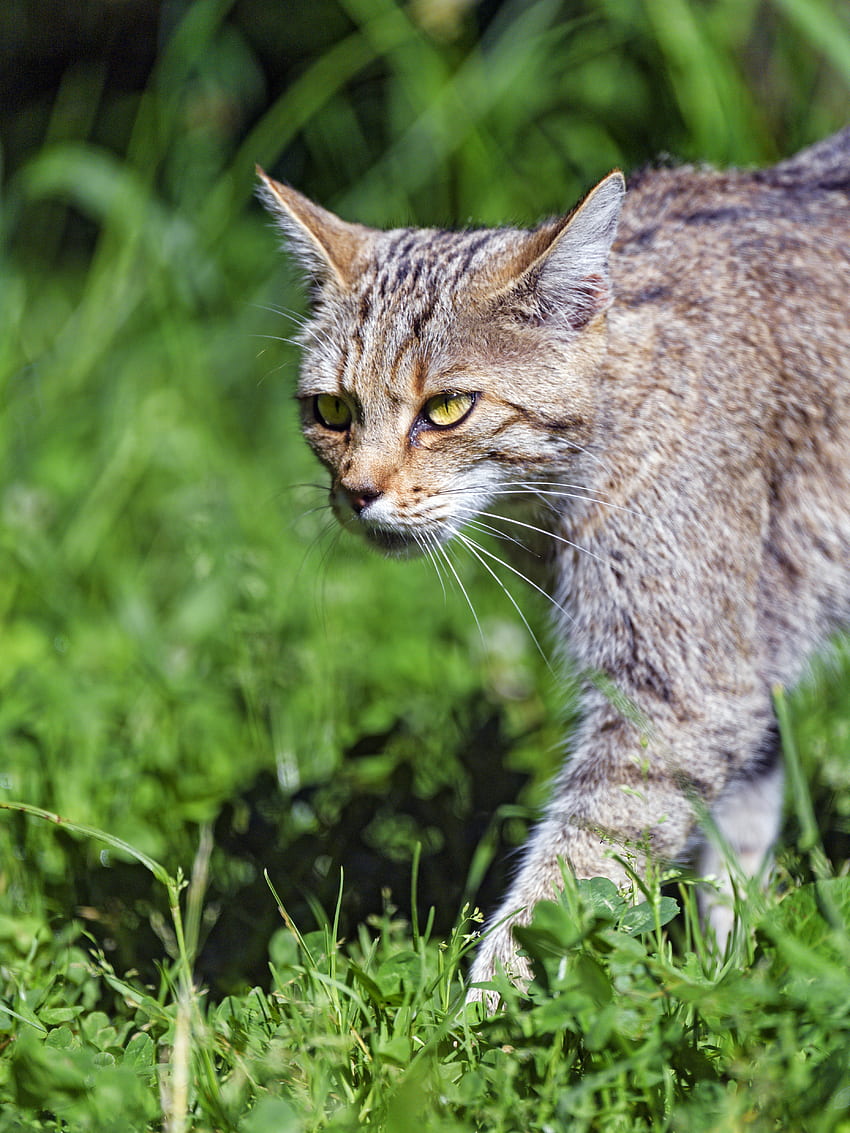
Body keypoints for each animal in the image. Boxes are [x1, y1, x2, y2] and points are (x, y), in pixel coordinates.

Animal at [258, 128, 850, 1006]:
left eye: (447, 408)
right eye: (332, 411)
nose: (357, 493)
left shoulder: (681, 689)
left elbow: (574, 873)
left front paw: (485, 1016)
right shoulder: (738, 655)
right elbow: (735, 839)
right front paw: (732, 966)